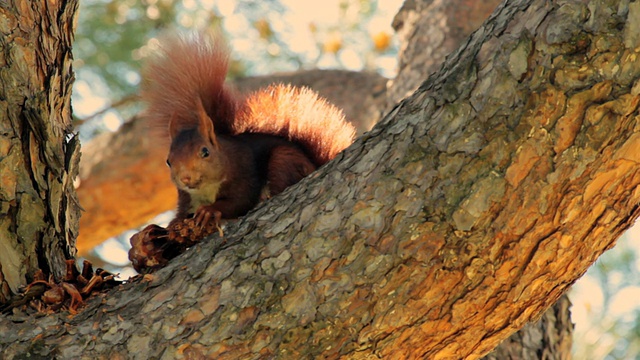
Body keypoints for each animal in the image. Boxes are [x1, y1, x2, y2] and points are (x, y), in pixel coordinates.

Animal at [141, 31, 358, 228]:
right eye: (168, 161)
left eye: (205, 152)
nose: (186, 178)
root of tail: (315, 165)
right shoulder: (186, 198)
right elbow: (180, 216)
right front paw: (154, 234)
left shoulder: (244, 172)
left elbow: (240, 201)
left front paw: (210, 210)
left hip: (283, 159)